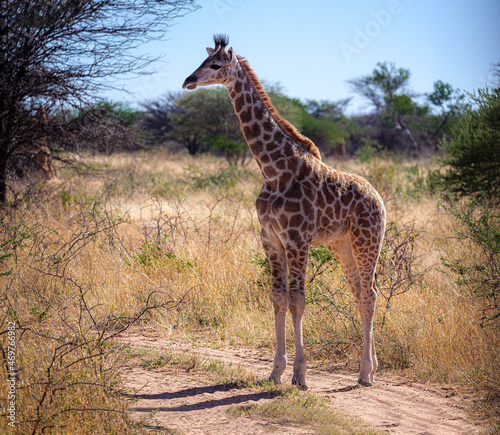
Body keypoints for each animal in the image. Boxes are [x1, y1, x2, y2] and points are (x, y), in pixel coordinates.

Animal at [184, 33, 386, 388]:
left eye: (216, 65)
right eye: (203, 61)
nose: (188, 81)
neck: (273, 170)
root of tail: (380, 199)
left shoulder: (297, 239)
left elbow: (297, 301)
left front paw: (300, 376)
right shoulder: (270, 239)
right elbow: (278, 299)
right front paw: (276, 371)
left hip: (367, 241)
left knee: (370, 294)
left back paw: (364, 373)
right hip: (342, 245)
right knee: (361, 293)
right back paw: (370, 368)